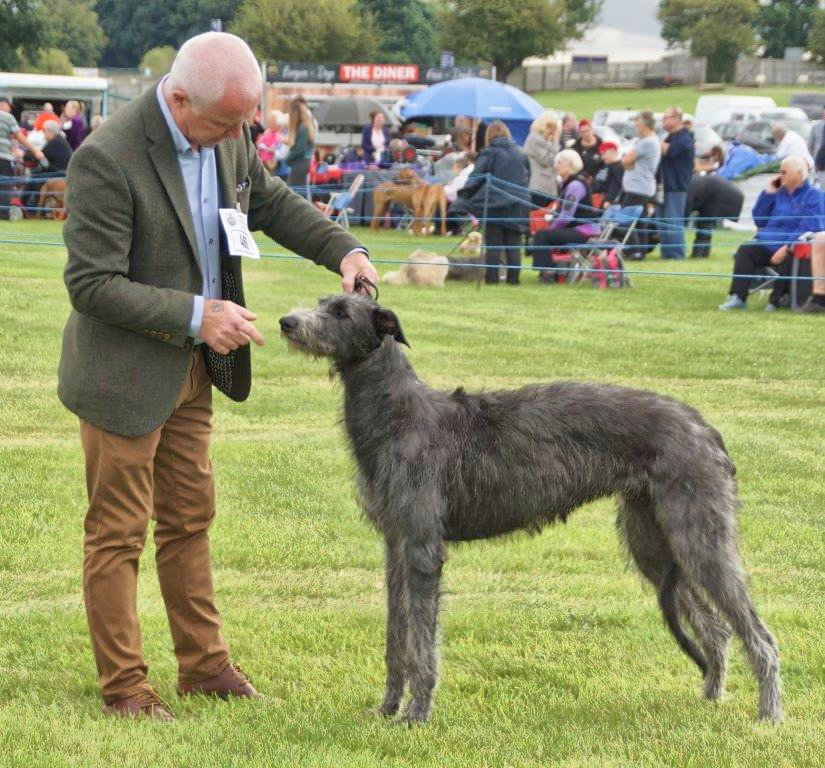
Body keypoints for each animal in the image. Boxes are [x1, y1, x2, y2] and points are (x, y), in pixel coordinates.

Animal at [276, 292, 780, 724]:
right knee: (717, 630)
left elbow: (422, 643)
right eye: (322, 302)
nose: (287, 322)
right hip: (654, 544)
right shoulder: (396, 543)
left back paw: (769, 716)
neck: (397, 412)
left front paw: (416, 715)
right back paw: (711, 697)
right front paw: (386, 709)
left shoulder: (422, 547)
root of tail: (704, 426)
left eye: (341, 311)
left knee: (761, 636)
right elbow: (396, 637)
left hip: (700, 536)